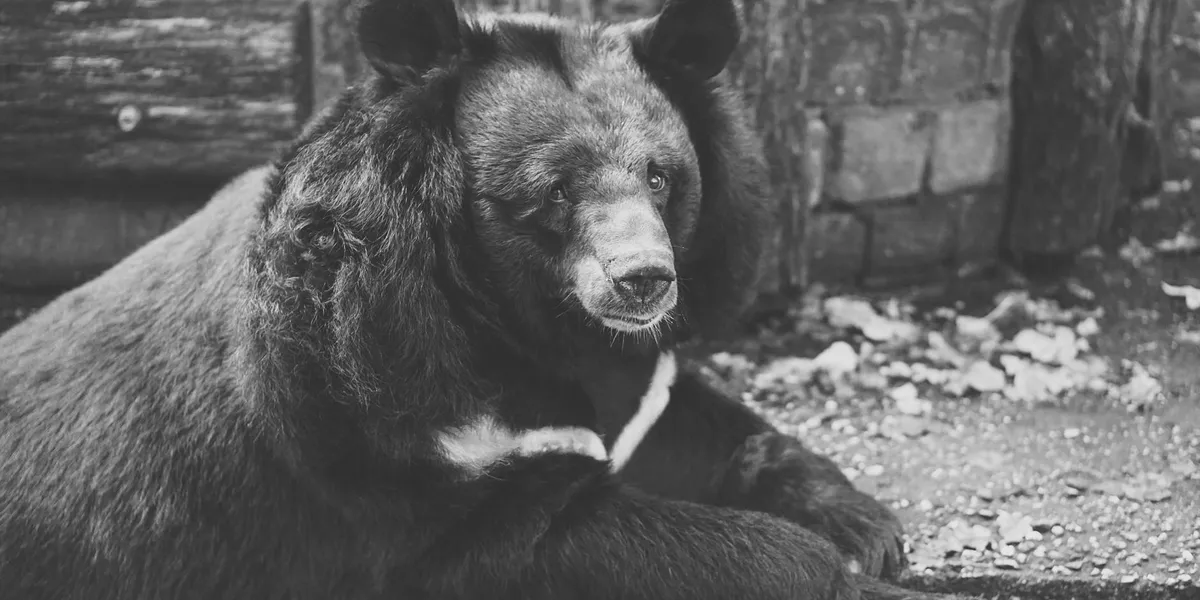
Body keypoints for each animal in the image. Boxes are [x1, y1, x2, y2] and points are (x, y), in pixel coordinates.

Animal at [0, 0, 959, 598]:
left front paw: (867, 527)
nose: (645, 280)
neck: (525, 319)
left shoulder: (636, 380)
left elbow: (703, 424)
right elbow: (568, 541)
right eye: (556, 191)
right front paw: (847, 573)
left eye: (662, 176)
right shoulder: (379, 431)